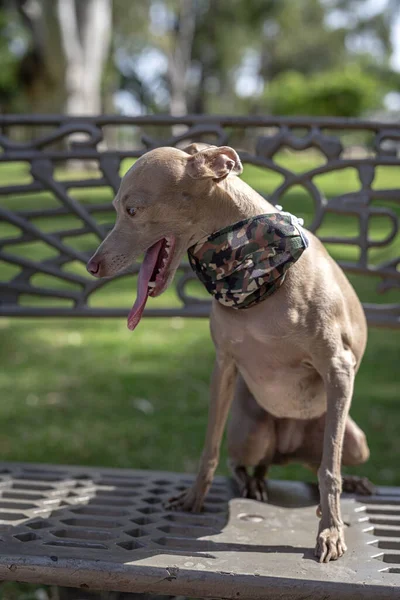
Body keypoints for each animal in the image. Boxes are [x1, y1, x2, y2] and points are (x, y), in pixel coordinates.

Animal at [88, 144, 372, 564]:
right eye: (117, 207)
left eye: (133, 209)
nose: (92, 265)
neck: (251, 263)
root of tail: (286, 449)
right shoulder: (223, 365)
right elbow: (210, 446)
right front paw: (194, 497)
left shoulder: (338, 369)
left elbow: (328, 469)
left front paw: (331, 530)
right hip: (252, 432)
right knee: (247, 462)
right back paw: (252, 483)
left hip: (355, 440)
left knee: (322, 458)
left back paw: (346, 482)